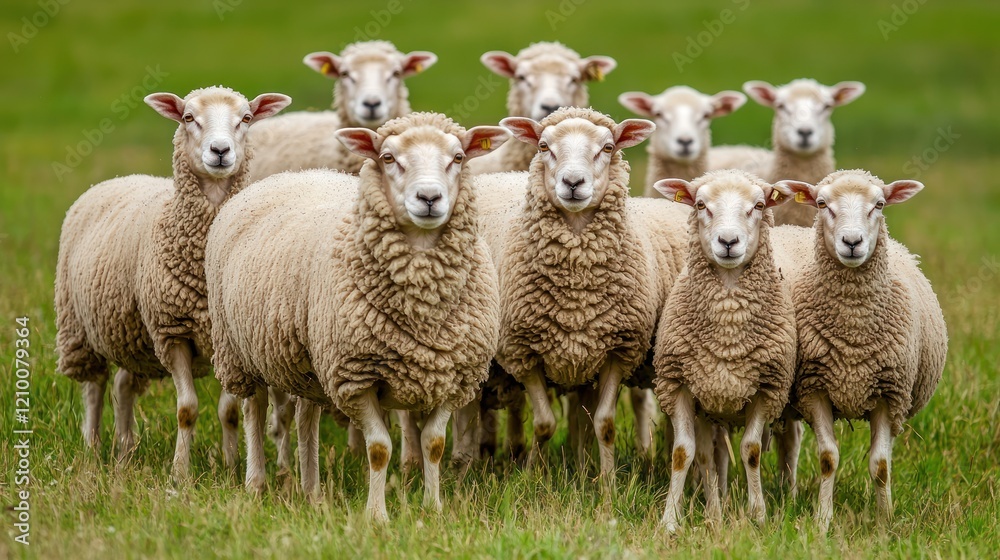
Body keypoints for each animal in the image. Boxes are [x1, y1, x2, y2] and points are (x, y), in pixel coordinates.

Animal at [55, 86, 291, 479]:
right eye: (188, 117)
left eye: (246, 118)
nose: (220, 151)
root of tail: (121, 177)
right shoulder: (172, 333)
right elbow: (187, 409)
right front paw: (180, 474)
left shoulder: (223, 341)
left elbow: (228, 411)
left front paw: (229, 466)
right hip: (80, 328)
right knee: (95, 387)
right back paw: (92, 448)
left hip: (131, 333)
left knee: (123, 385)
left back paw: (125, 451)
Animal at [207, 112, 510, 521]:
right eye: (387, 157)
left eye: (458, 157)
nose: (429, 198)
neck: (422, 303)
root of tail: (292, 174)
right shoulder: (356, 377)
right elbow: (379, 448)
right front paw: (377, 516)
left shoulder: (454, 377)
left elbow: (433, 443)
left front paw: (432, 509)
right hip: (239, 351)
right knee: (253, 409)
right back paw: (256, 484)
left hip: (309, 359)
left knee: (306, 419)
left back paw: (312, 491)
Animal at [485, 106, 690, 478]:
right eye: (543, 146)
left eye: (607, 147)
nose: (572, 183)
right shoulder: (522, 352)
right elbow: (544, 424)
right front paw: (530, 475)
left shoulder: (617, 350)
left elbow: (604, 424)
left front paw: (607, 483)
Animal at [651, 170, 797, 532]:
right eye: (701, 205)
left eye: (759, 205)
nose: (728, 241)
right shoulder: (680, 386)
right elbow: (684, 453)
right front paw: (670, 521)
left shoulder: (767, 389)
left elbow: (751, 450)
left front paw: (758, 515)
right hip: (710, 400)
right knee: (708, 456)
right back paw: (715, 514)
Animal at [772, 170, 947, 531]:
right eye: (821, 203)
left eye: (879, 204)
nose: (852, 242)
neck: (853, 324)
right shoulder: (815, 389)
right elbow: (828, 458)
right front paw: (822, 521)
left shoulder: (890, 396)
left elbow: (880, 465)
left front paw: (885, 521)